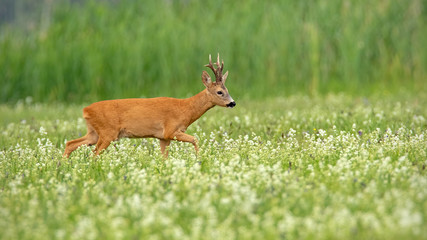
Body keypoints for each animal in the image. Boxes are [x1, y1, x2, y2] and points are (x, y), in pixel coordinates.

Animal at [62, 54, 237, 159]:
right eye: (220, 92)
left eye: (228, 90)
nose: (232, 103)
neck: (185, 109)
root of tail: (86, 110)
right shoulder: (171, 130)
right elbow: (195, 139)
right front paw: (199, 158)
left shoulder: (163, 137)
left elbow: (165, 157)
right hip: (107, 132)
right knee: (94, 154)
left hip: (94, 133)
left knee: (70, 143)